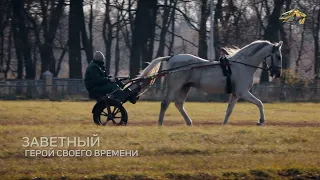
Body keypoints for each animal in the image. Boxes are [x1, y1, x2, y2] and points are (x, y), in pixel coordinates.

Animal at [138, 40, 282, 126]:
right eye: (279, 56)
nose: (277, 74)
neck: (242, 65)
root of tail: (172, 57)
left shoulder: (236, 94)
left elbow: (229, 110)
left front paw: (224, 125)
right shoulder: (243, 92)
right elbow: (260, 103)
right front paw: (261, 121)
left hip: (185, 87)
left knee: (178, 104)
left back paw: (189, 122)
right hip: (175, 87)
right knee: (165, 103)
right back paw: (160, 124)